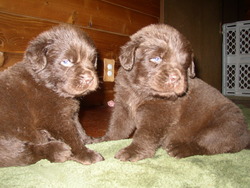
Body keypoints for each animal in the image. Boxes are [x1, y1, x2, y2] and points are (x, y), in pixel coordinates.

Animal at [0, 23, 103, 166]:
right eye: (66, 62)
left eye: (92, 60)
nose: (89, 78)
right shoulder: (54, 118)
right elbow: (71, 137)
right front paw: (86, 154)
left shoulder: (71, 114)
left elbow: (79, 130)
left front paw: (93, 141)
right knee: (23, 154)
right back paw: (57, 150)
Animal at [97, 23, 250, 162]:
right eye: (156, 58)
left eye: (184, 63)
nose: (176, 78)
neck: (140, 91)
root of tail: (245, 134)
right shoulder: (123, 106)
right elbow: (118, 126)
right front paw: (105, 140)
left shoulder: (157, 114)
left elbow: (145, 134)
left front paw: (133, 151)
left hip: (221, 128)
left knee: (207, 147)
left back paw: (179, 149)